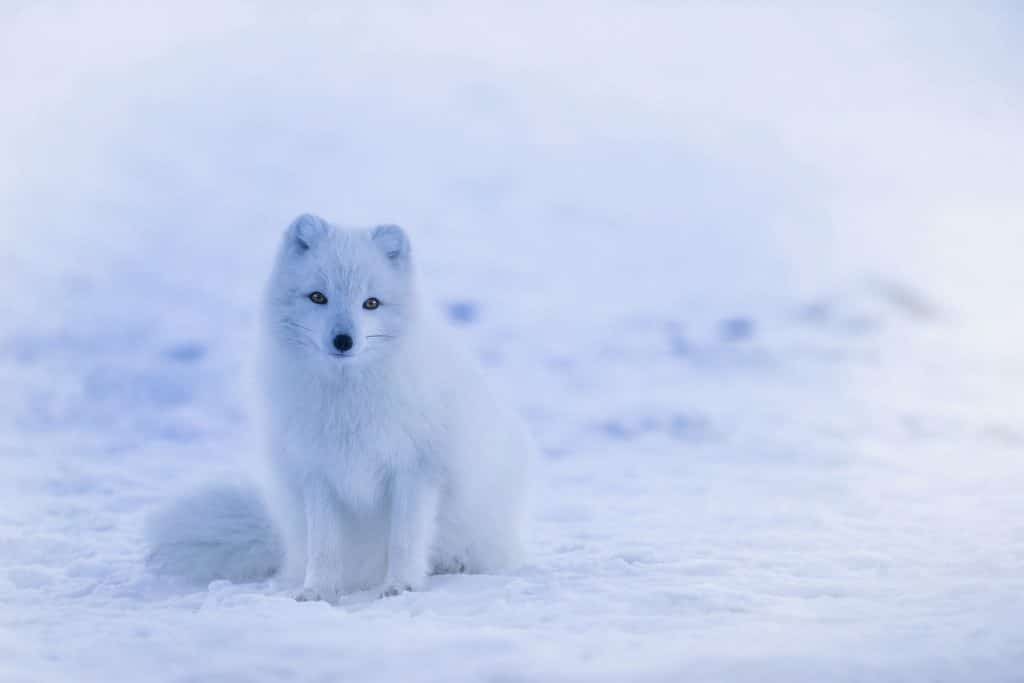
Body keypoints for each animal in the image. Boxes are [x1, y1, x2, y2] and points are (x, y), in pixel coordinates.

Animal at [148, 216, 532, 602]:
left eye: (371, 303)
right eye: (318, 297)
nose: (343, 341)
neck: (347, 400)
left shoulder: (415, 469)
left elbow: (405, 539)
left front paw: (400, 586)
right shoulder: (317, 472)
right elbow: (324, 546)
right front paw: (317, 591)